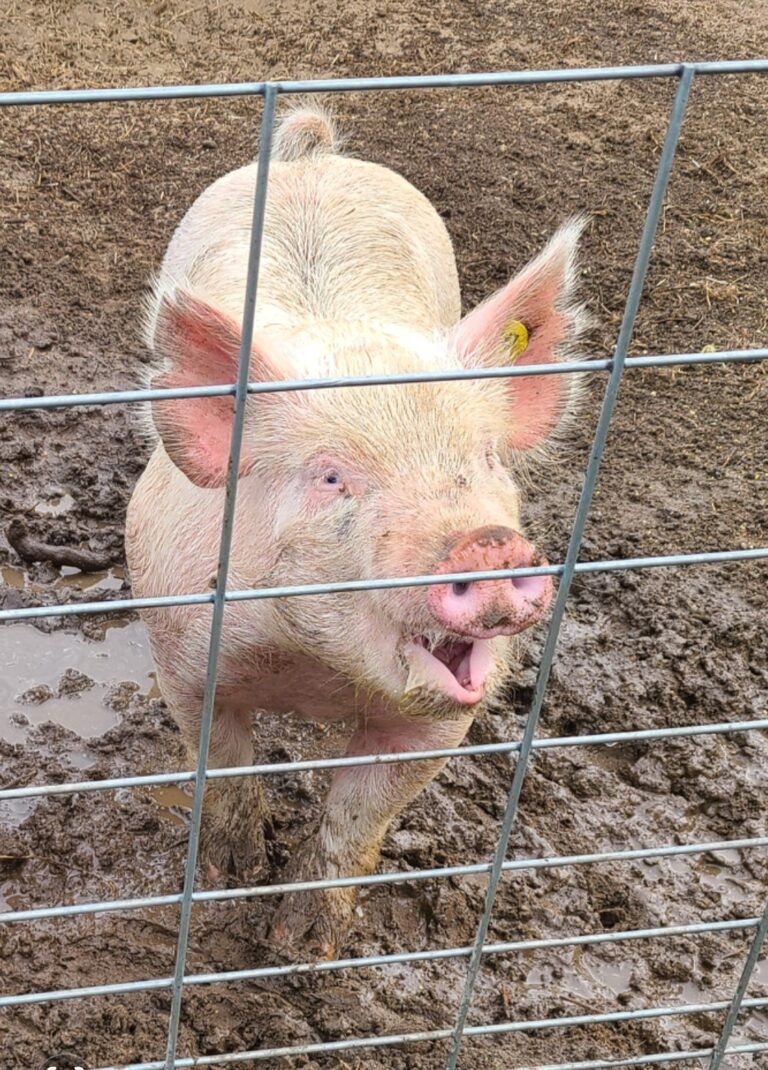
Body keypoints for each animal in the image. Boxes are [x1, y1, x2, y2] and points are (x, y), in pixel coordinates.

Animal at [125, 105, 585, 958]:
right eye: (332, 476)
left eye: (483, 456)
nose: (487, 542)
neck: (312, 666)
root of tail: (312, 157)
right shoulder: (180, 657)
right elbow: (224, 769)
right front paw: (232, 877)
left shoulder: (441, 721)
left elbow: (357, 820)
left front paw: (299, 950)